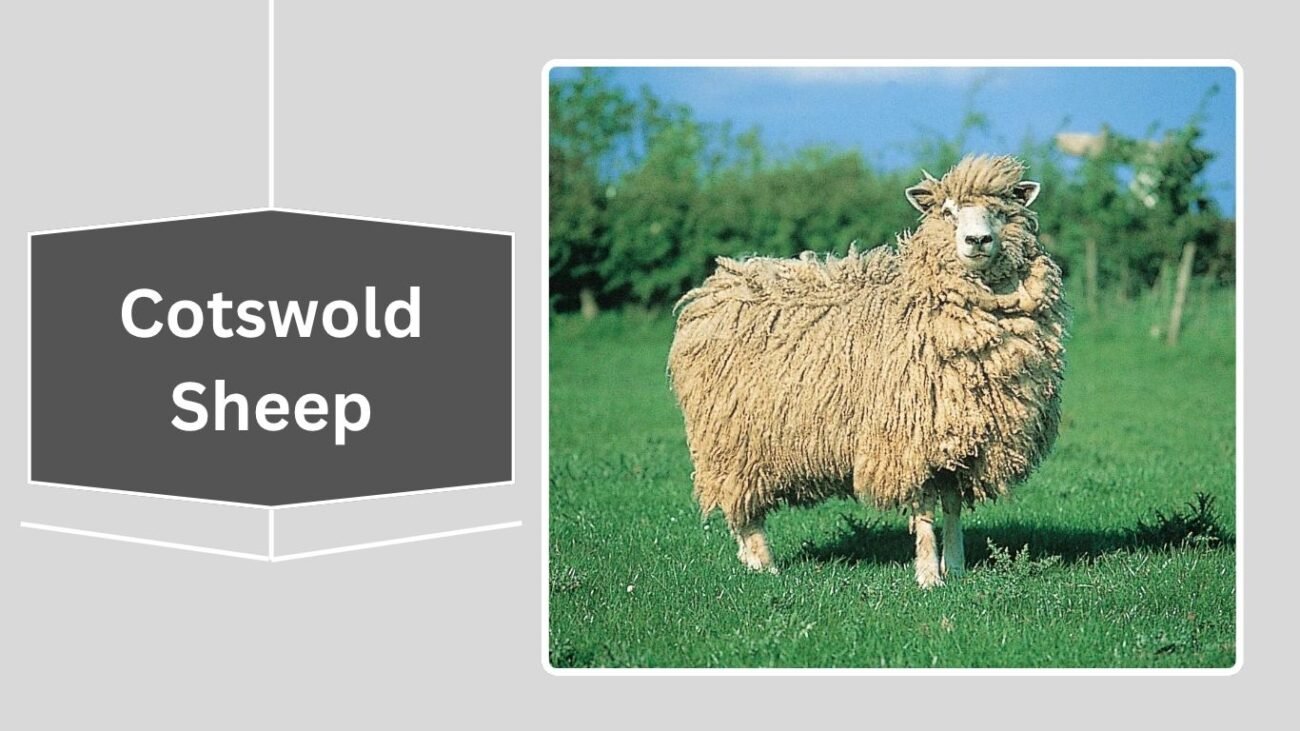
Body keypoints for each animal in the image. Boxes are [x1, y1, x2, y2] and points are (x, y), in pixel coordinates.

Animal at [667, 155, 1067, 588]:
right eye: (948, 212)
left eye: (1000, 211)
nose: (977, 241)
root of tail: (718, 285)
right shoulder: (907, 438)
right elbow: (924, 510)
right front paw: (929, 576)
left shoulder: (957, 441)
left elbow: (952, 506)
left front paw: (956, 568)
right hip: (733, 439)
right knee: (743, 505)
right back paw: (763, 563)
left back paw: (748, 560)